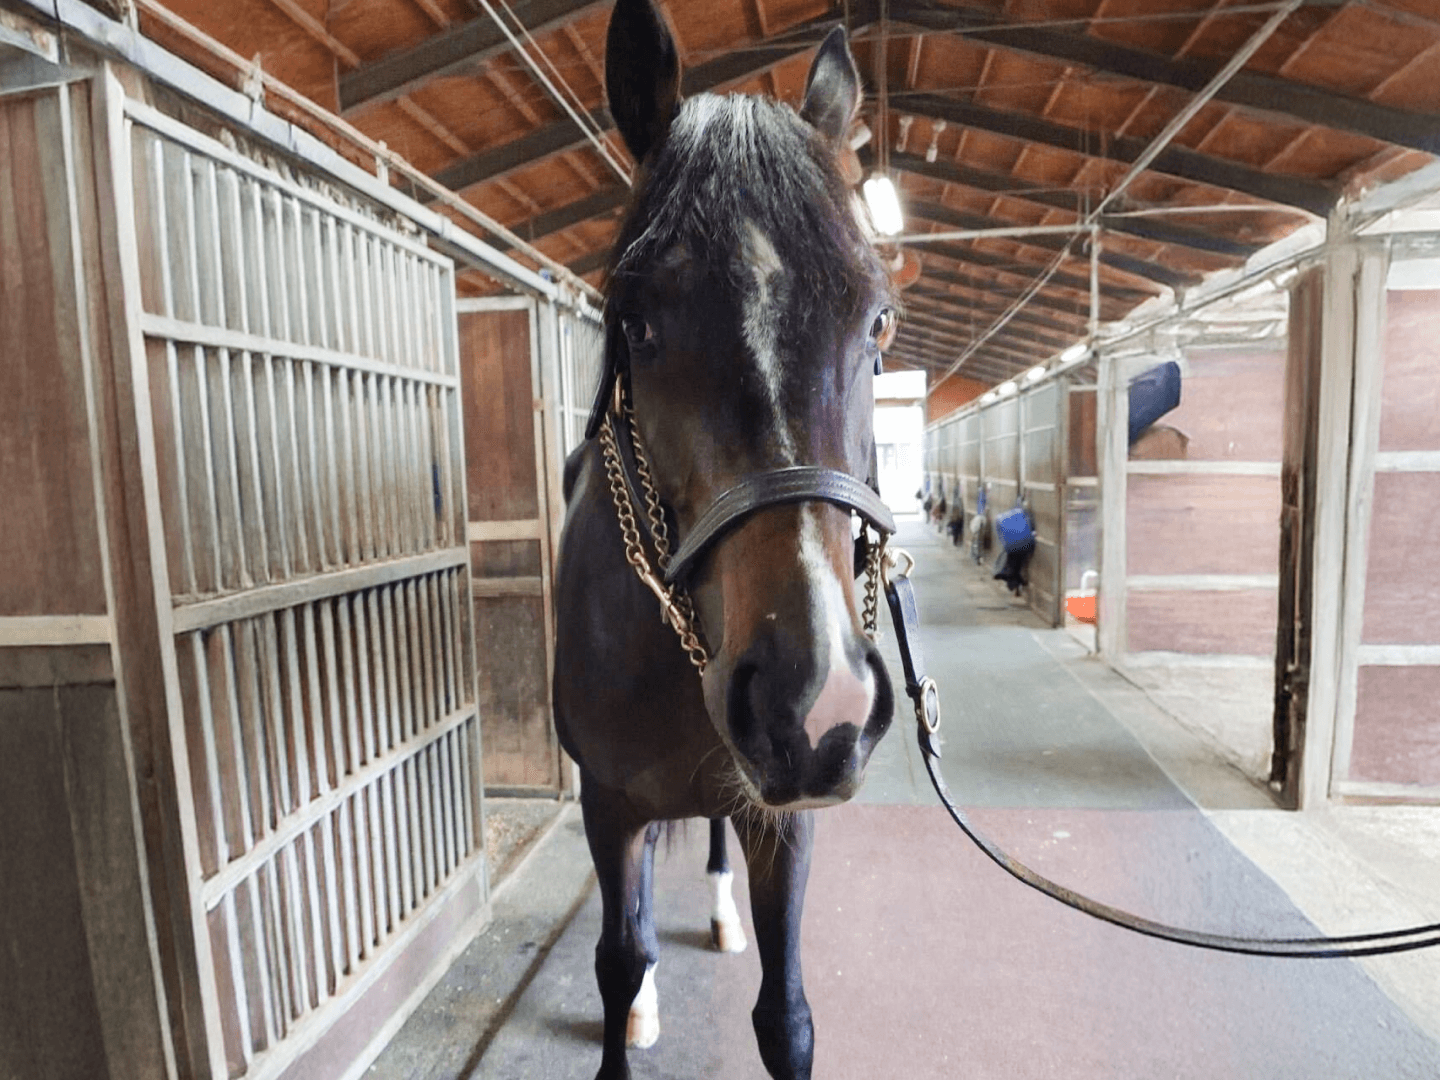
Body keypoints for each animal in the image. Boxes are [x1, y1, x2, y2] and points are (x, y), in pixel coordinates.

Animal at [552, 1, 899, 1075]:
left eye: (878, 323)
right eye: (635, 321)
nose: (814, 703)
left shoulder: (786, 823)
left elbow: (785, 1016)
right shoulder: (608, 806)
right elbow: (618, 959)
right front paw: (634, 1010)